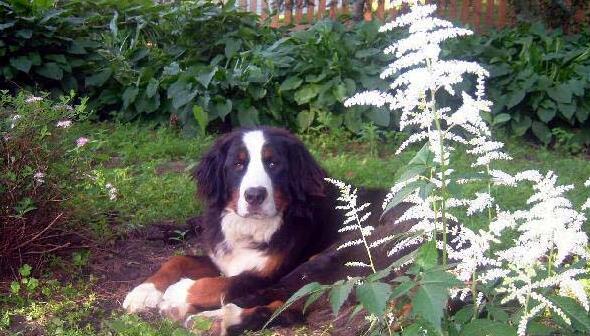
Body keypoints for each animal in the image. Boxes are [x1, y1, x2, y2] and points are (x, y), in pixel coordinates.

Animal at [121, 126, 416, 336]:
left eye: (274, 164)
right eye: (237, 164)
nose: (254, 195)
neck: (255, 226)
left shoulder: (266, 271)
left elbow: (226, 284)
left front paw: (178, 292)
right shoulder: (226, 259)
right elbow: (178, 259)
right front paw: (143, 291)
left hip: (341, 253)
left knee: (283, 293)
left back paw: (201, 313)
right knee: (290, 307)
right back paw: (219, 321)